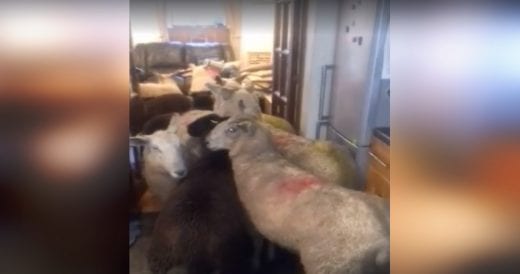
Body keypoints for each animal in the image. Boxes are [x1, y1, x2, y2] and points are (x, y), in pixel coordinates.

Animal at [205, 115, 388, 274]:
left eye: (231, 130)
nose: (206, 141)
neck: (257, 158)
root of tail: (381, 242)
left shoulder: (251, 218)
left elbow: (257, 244)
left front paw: (256, 263)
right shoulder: (268, 222)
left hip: (329, 265)